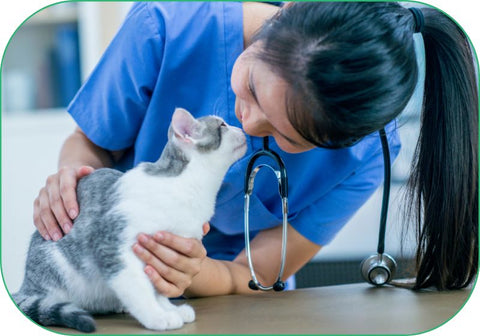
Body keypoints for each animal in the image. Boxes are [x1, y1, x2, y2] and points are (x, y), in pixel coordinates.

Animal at [12, 107, 248, 330]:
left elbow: (158, 288)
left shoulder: (158, 256)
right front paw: (157, 316)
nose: (241, 128)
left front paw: (168, 308)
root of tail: (27, 284)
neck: (188, 186)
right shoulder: (114, 246)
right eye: (222, 125)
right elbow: (139, 287)